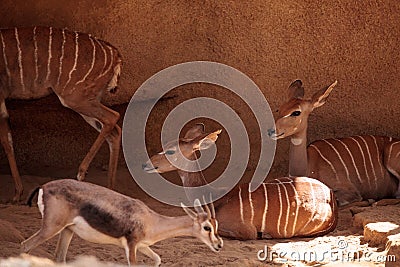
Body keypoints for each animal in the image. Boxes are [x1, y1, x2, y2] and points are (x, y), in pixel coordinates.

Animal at [0, 26, 122, 203]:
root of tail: (114, 54)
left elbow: (5, 141)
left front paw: (16, 194)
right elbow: (8, 140)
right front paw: (17, 194)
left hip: (75, 98)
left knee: (113, 117)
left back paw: (81, 172)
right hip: (88, 99)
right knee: (114, 131)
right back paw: (111, 189)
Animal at [21, 179, 222, 266]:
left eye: (216, 225)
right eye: (207, 227)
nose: (219, 245)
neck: (151, 220)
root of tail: (44, 186)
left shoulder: (143, 246)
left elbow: (158, 259)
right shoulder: (131, 246)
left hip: (67, 230)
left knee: (59, 258)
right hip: (51, 228)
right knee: (25, 245)